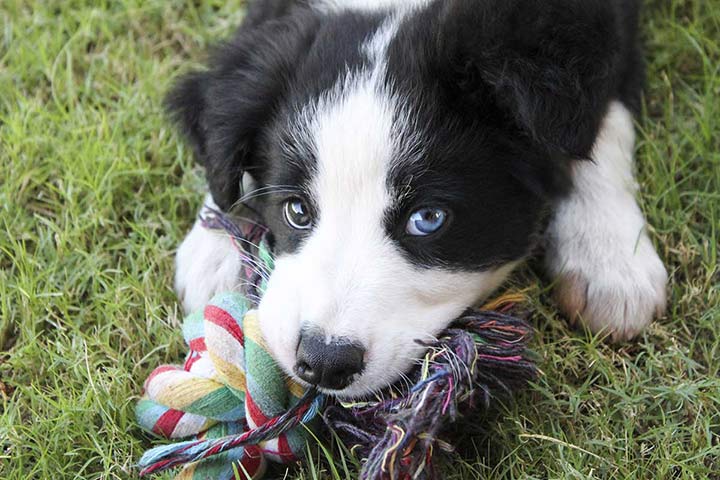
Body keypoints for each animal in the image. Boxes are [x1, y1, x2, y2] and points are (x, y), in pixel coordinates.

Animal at [169, 0, 668, 398]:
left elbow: (601, 124)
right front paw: (216, 247)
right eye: (296, 210)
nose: (325, 364)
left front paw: (609, 259)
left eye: (427, 219)